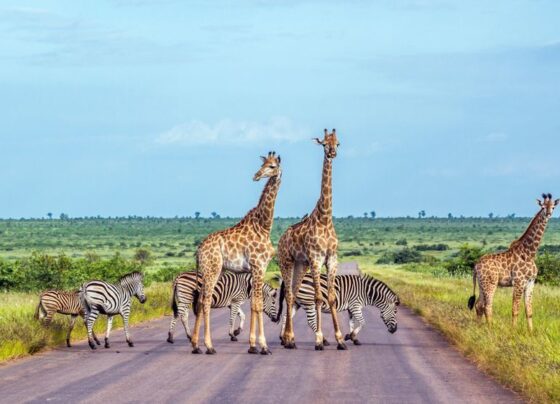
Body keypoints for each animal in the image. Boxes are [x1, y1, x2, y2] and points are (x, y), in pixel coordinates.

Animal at [190, 151, 282, 354]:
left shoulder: (256, 269)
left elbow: (254, 304)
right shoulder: (259, 266)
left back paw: (195, 345)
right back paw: (209, 346)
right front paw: (263, 346)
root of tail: (199, 251)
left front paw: (253, 345)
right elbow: (257, 304)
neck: (264, 226)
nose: (256, 175)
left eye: (272, 166)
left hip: (208, 271)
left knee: (199, 301)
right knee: (205, 302)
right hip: (212, 269)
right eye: (264, 165)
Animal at [276, 129, 346, 350]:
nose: (332, 153)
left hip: (301, 264)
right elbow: (317, 298)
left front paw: (340, 339)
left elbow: (330, 298)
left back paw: (288, 338)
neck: (325, 218)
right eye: (324, 144)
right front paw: (319, 339)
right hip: (286, 261)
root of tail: (281, 239)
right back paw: (289, 338)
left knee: (293, 292)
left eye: (337, 143)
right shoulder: (316, 259)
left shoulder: (331, 259)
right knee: (289, 295)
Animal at [470, 193, 556, 332]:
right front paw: (514, 330)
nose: (548, 213)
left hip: (482, 283)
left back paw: (479, 327)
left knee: (479, 305)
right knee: (487, 306)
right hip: (490, 283)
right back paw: (490, 328)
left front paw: (530, 332)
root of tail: (476, 266)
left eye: (553, 206)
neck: (529, 253)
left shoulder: (531, 282)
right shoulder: (519, 282)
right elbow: (515, 309)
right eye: (543, 207)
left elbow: (529, 310)